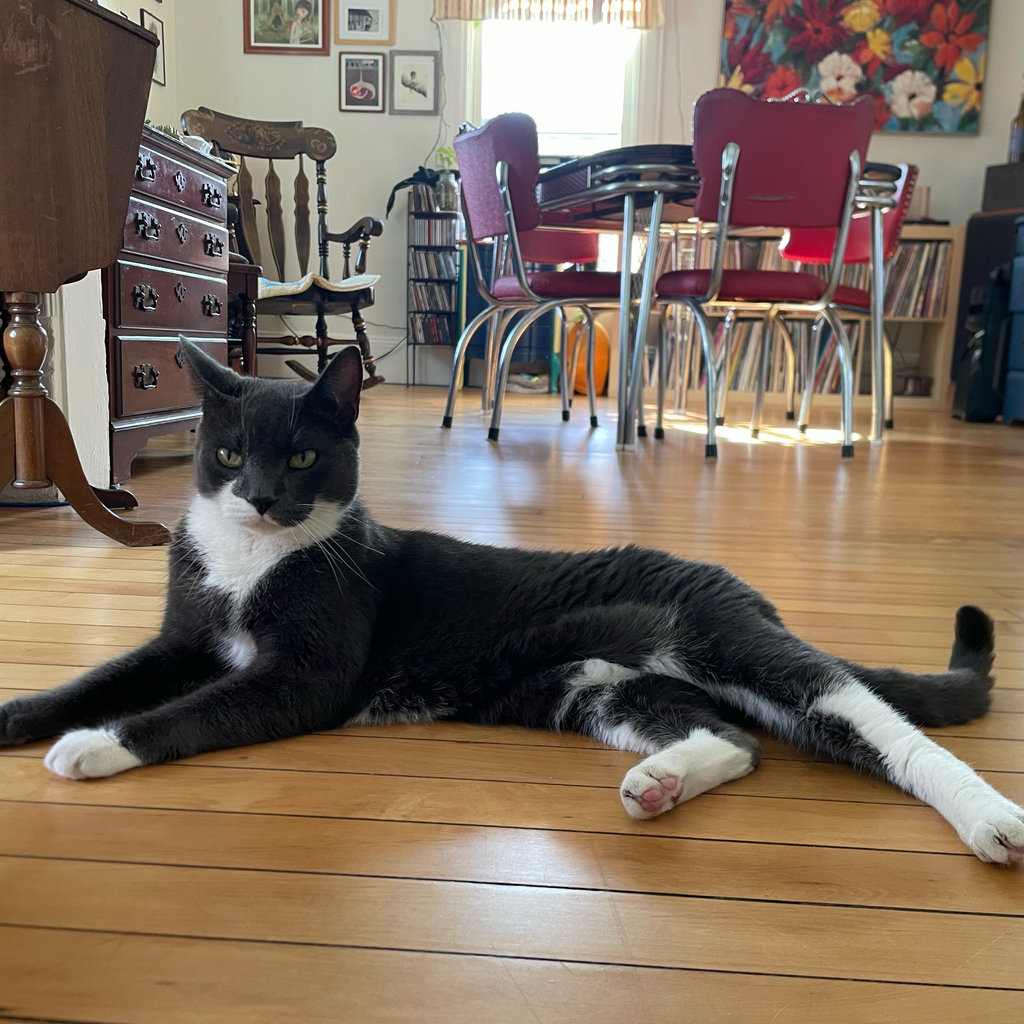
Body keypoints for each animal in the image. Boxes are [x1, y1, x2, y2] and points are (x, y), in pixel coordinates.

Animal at [1, 339, 1022, 865]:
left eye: (301, 457)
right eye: (223, 456)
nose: (255, 495)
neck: (251, 560)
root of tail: (751, 596)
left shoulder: (303, 675)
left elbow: (192, 710)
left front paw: (93, 746)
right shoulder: (184, 637)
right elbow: (108, 675)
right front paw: (24, 714)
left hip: (732, 644)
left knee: (879, 725)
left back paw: (989, 821)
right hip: (590, 683)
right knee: (733, 737)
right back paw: (659, 783)